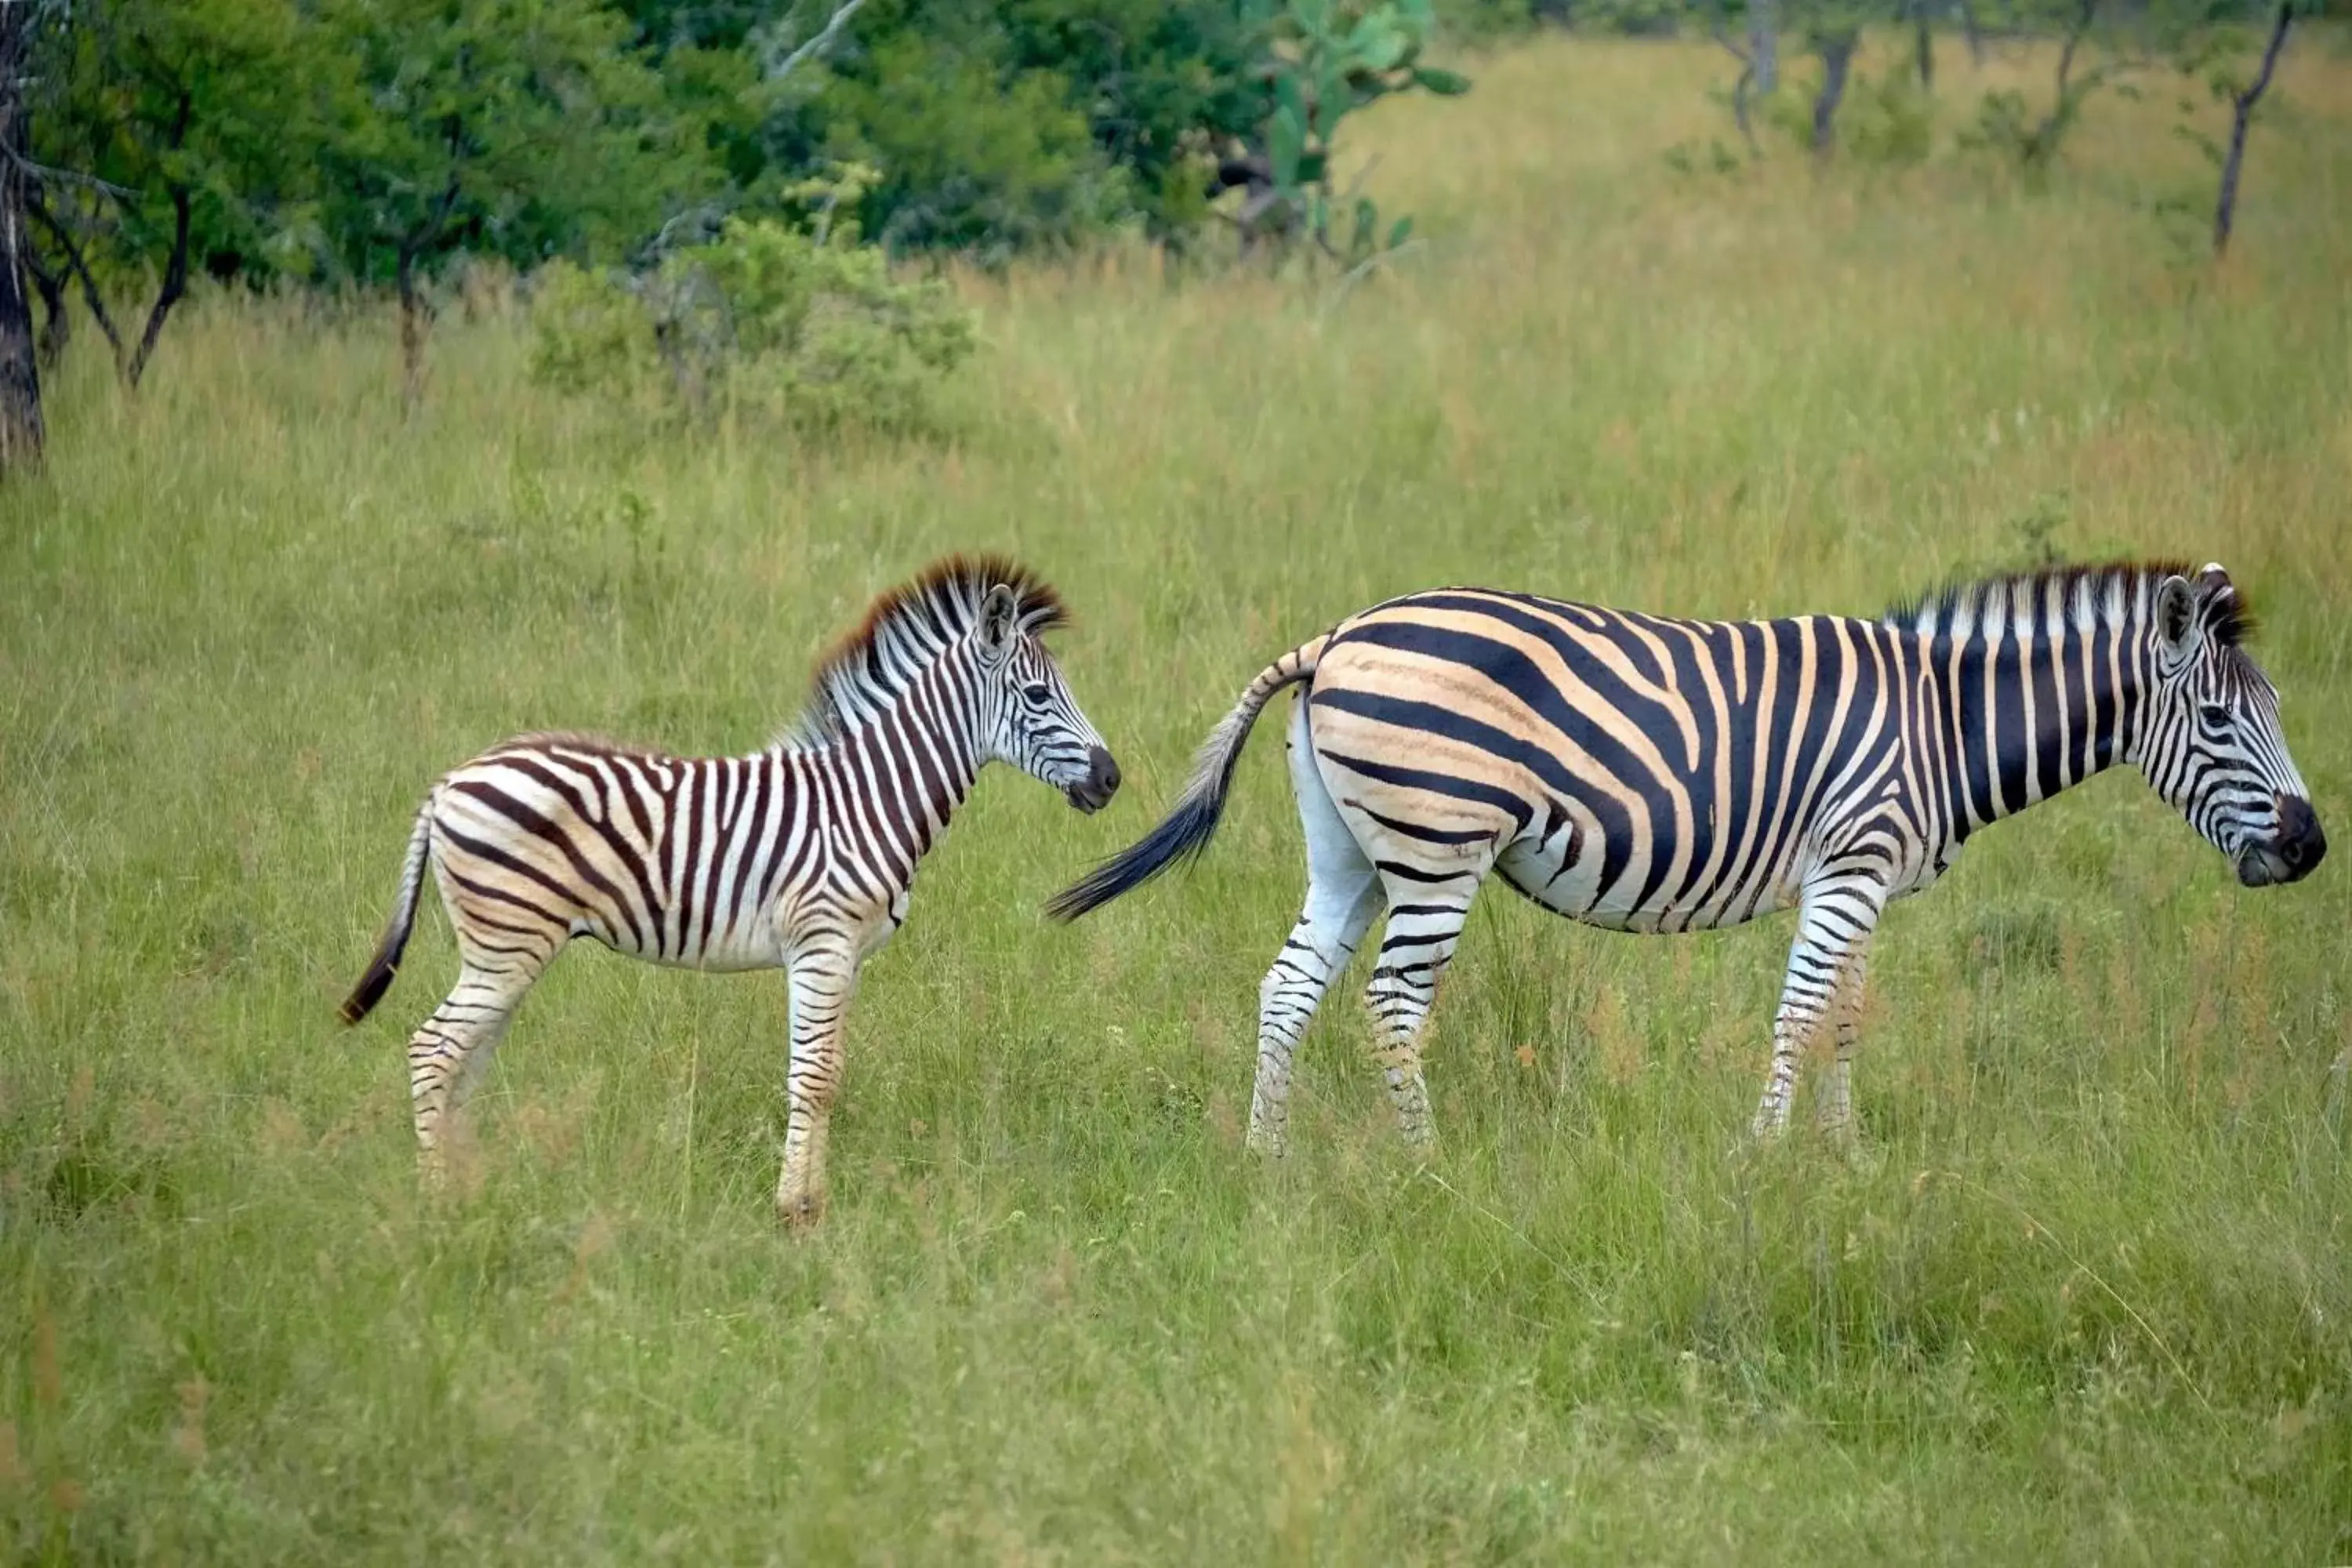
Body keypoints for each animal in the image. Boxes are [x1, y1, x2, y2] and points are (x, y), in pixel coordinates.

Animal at [341, 552, 1120, 1222]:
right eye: (1038, 694)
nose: (1112, 778)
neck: (868, 797)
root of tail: (450, 782)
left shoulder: (846, 957)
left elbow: (829, 1073)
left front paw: (812, 1204)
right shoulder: (821, 943)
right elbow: (813, 1078)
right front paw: (794, 1211)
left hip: (508, 949)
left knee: (464, 1063)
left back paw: (472, 1191)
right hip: (507, 942)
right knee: (434, 1051)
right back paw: (439, 1204)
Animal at [1058, 561, 2324, 1152]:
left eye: (2274, 710)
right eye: (2222, 722)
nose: (2311, 848)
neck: (1946, 721)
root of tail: (1334, 637)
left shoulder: (1861, 876)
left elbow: (1845, 1017)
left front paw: (1843, 1159)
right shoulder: (1853, 858)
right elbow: (1803, 1012)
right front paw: (1762, 1160)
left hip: (1353, 854)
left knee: (1288, 988)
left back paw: (1266, 1159)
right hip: (1439, 844)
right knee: (1392, 1006)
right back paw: (1426, 1168)